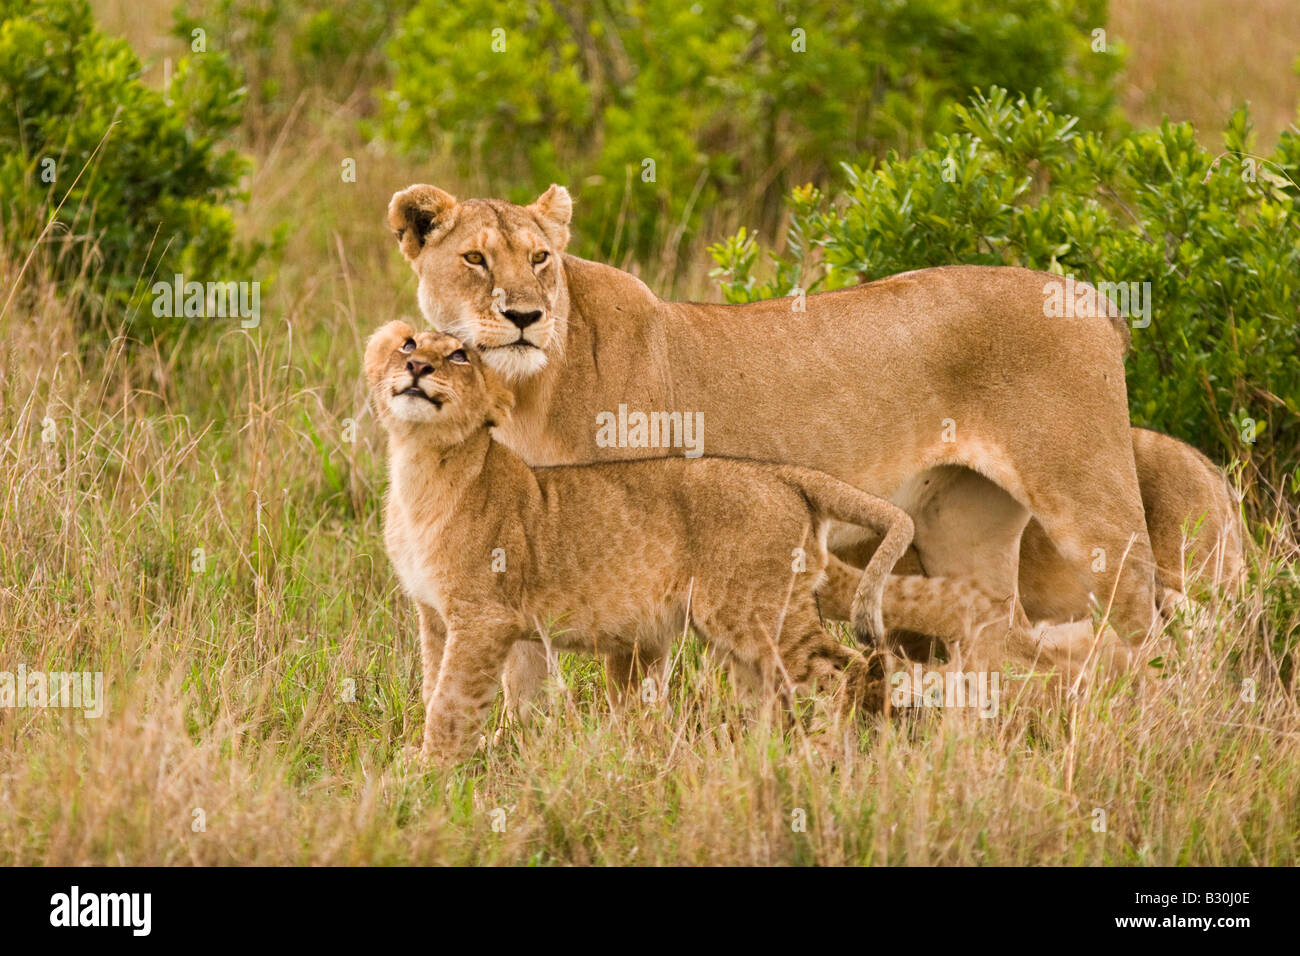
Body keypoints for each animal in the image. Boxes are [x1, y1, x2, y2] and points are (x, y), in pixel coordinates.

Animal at [366, 321, 918, 763]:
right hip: (742, 635)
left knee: (844, 669)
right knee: (772, 694)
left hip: (756, 613)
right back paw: (763, 760)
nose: (416, 365)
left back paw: (825, 755)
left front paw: (428, 770)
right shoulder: (436, 616)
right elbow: (436, 684)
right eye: (408, 344)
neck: (420, 467)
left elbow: (450, 699)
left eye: (460, 356)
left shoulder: (484, 617)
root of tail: (787, 474)